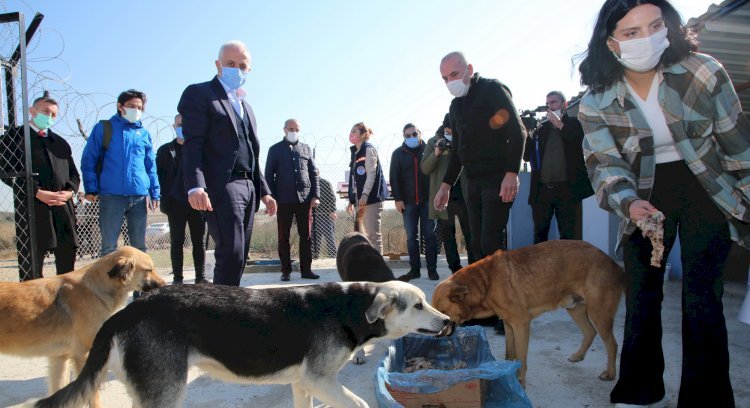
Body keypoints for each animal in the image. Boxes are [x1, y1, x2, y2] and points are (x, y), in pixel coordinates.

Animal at [0, 245, 166, 408]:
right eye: (149, 270)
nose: (165, 286)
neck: (96, 288)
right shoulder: (84, 355)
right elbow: (92, 395)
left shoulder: (60, 358)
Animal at [35, 280, 456, 408]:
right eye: (418, 305)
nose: (449, 322)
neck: (348, 307)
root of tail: (129, 311)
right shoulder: (320, 380)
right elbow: (360, 403)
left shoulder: (303, 383)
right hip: (164, 392)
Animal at [432, 241, 624, 388]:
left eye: (443, 313)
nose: (434, 336)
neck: (486, 282)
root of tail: (613, 263)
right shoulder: (509, 325)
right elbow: (510, 353)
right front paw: (506, 373)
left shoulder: (521, 324)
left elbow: (521, 358)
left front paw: (520, 381)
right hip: (574, 308)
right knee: (590, 332)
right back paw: (578, 356)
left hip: (599, 313)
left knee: (612, 344)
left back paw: (610, 373)